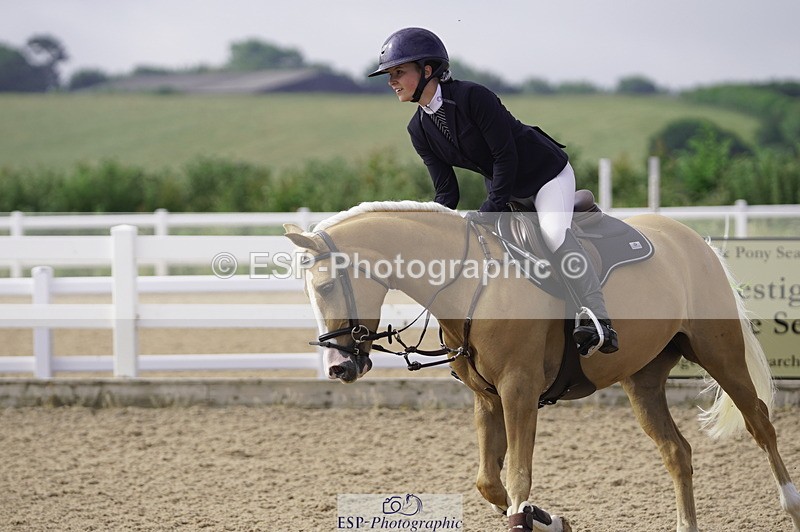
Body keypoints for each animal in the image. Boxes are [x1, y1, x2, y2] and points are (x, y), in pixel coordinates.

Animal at [284, 200, 800, 532]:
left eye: (325, 287)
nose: (337, 367)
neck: (473, 282)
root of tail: (694, 241)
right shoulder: (488, 398)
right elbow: (490, 482)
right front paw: (549, 519)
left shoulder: (519, 390)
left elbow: (517, 477)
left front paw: (534, 517)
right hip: (643, 379)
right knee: (677, 452)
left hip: (719, 354)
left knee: (760, 424)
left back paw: (791, 504)